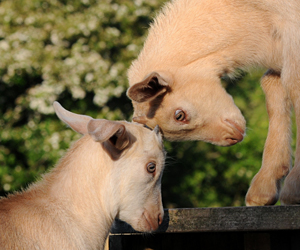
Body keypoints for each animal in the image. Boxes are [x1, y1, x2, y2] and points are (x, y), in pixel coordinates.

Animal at [126, 0, 300, 205]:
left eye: (179, 115)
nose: (232, 138)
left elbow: (294, 84)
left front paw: (293, 188)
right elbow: (273, 87)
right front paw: (264, 188)